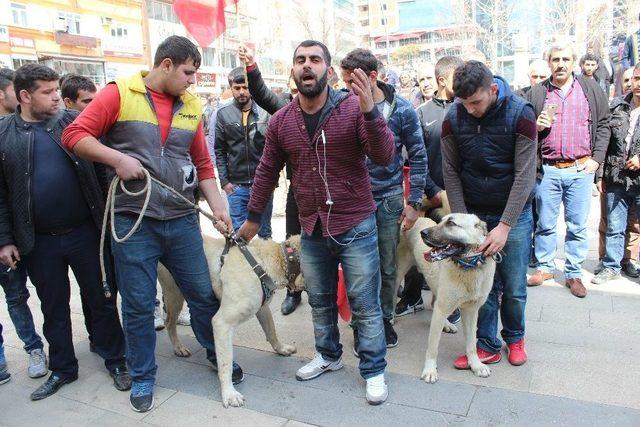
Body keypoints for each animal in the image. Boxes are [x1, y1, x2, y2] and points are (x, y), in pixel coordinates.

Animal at [157, 237, 302, 408]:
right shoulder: (222, 323)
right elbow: (225, 363)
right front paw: (229, 393)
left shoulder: (262, 307)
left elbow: (271, 331)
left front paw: (281, 348)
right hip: (174, 294)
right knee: (169, 322)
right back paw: (178, 347)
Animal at [396, 216, 496, 382]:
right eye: (441, 221)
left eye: (451, 223)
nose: (423, 233)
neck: (468, 266)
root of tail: (419, 217)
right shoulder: (443, 308)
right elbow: (433, 346)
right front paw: (430, 370)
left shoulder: (471, 311)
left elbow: (471, 344)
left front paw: (475, 364)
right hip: (398, 274)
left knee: (434, 303)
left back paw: (447, 325)